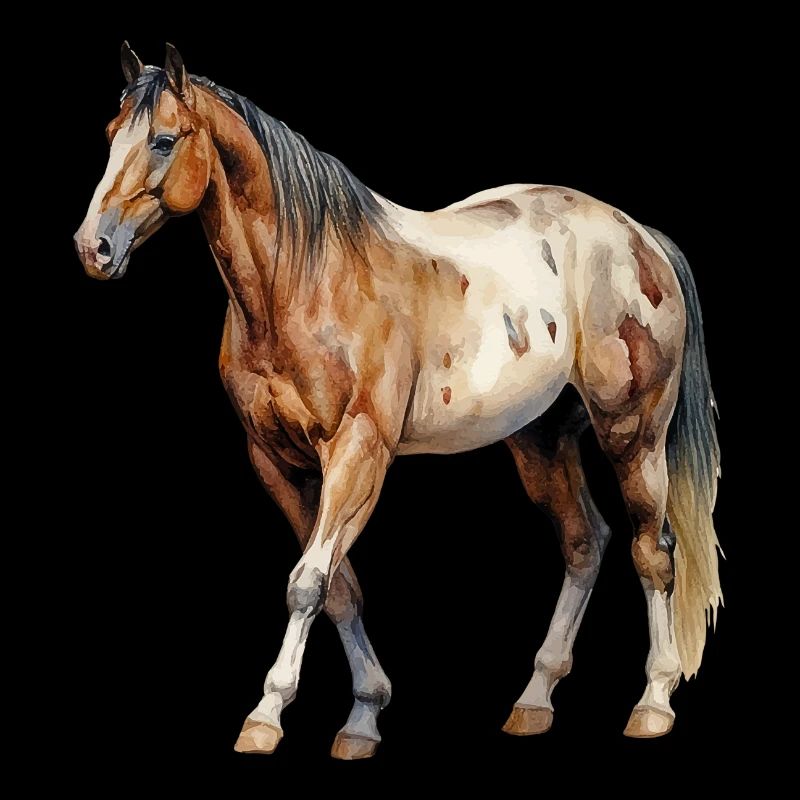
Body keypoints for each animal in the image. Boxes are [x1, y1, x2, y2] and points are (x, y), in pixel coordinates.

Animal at [74, 43, 722, 759]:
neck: (307, 279)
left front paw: (266, 717)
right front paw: (363, 716)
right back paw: (533, 701)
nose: (94, 247)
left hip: (634, 433)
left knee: (651, 548)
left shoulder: (358, 453)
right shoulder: (278, 464)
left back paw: (653, 703)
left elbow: (308, 583)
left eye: (163, 140)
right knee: (585, 543)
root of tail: (637, 235)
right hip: (540, 440)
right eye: (111, 134)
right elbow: (339, 588)